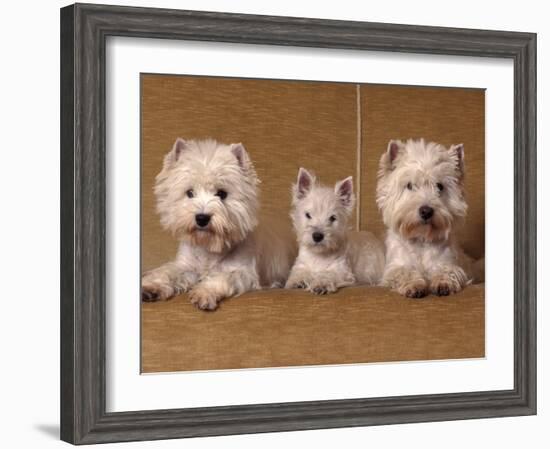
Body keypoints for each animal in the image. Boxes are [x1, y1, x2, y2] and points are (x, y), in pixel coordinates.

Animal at [143, 138, 298, 310]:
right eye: (190, 193)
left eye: (222, 194)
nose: (202, 218)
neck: (209, 248)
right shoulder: (186, 266)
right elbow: (168, 272)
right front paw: (152, 287)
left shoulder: (243, 273)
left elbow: (222, 277)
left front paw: (204, 293)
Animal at [378, 137, 486, 298]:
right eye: (409, 185)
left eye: (439, 186)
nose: (426, 211)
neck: (422, 239)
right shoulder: (395, 267)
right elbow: (404, 272)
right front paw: (414, 286)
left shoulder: (450, 263)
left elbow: (447, 270)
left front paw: (442, 283)